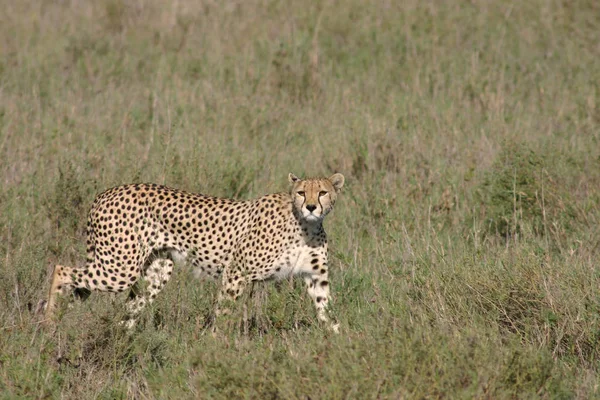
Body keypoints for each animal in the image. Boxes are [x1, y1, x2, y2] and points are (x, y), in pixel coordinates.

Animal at [45, 172, 346, 332]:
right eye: (300, 192)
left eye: (322, 192)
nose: (310, 206)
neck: (305, 226)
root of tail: (106, 192)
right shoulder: (236, 272)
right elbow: (223, 313)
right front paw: (215, 347)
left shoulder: (316, 278)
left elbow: (327, 311)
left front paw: (339, 342)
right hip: (120, 267)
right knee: (61, 269)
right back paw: (49, 320)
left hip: (156, 271)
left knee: (130, 307)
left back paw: (122, 339)